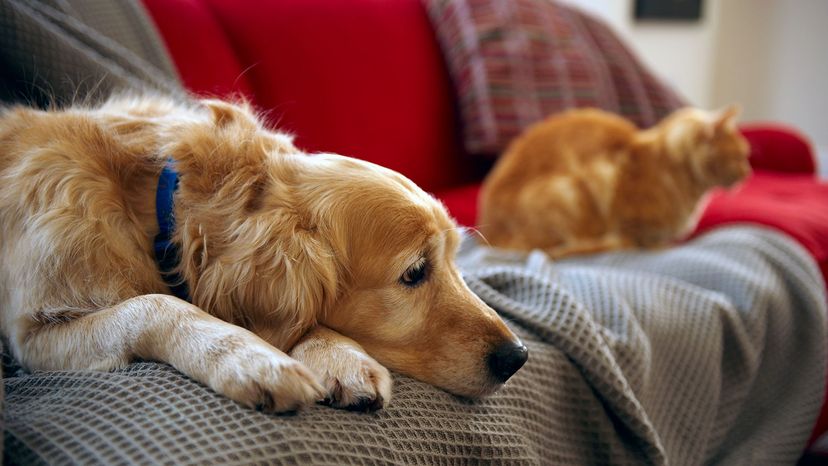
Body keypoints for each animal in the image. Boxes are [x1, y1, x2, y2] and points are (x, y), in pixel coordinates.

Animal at [0, 94, 528, 412]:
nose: (518, 357)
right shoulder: (35, 334)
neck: (159, 205)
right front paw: (252, 359)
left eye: (456, 258)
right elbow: (155, 305)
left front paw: (339, 357)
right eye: (415, 272)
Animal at [478, 106, 752, 258]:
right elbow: (635, 237)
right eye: (740, 156)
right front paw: (656, 246)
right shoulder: (611, 188)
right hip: (567, 191)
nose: (747, 173)